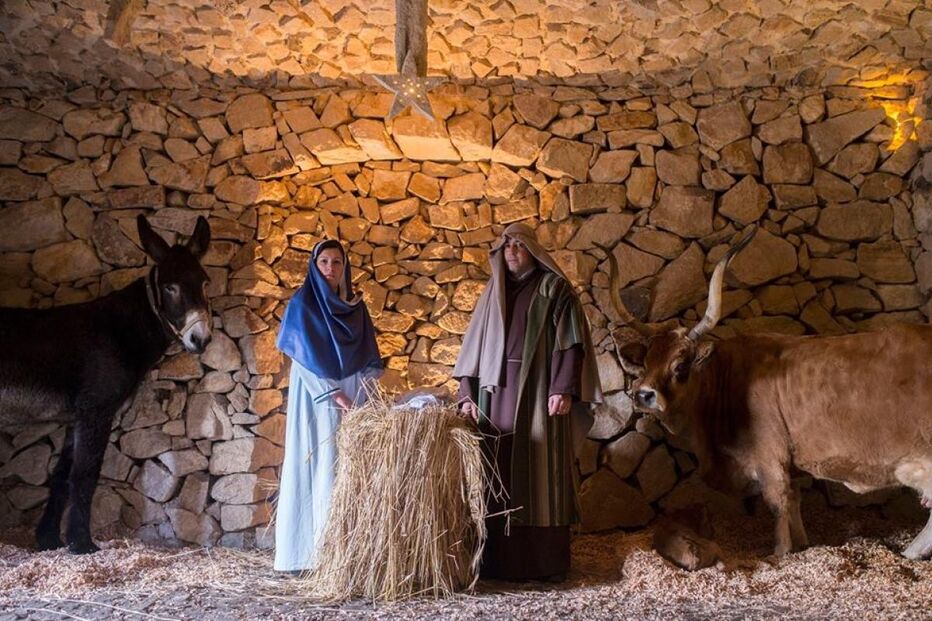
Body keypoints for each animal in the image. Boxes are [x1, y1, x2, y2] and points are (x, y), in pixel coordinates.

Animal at [0, 215, 212, 554]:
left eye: (205, 284)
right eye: (170, 288)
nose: (201, 339)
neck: (121, 330)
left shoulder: (77, 416)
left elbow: (62, 476)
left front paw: (49, 540)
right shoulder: (96, 410)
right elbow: (85, 474)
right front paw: (82, 544)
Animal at [604, 226, 932, 559]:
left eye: (681, 365)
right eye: (646, 362)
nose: (644, 395)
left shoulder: (770, 459)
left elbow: (778, 506)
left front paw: (780, 553)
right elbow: (795, 505)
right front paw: (802, 545)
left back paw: (909, 554)